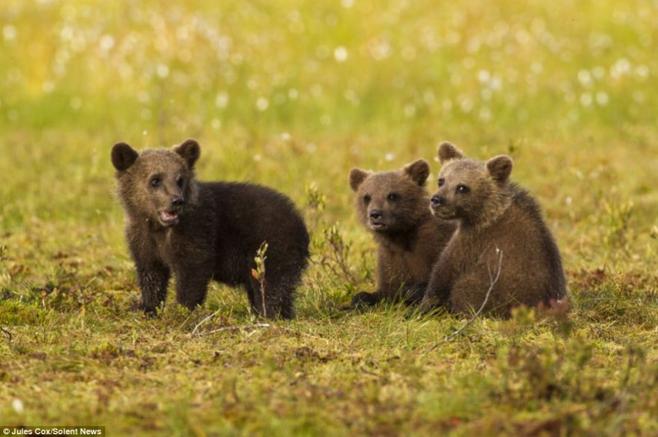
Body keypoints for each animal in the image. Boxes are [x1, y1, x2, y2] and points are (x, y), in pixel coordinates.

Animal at [111, 139, 309, 319]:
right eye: (155, 180)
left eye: (180, 179)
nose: (176, 201)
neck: (158, 227)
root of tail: (301, 222)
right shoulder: (142, 240)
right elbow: (151, 275)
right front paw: (146, 308)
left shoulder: (197, 232)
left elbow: (193, 273)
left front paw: (183, 310)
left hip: (271, 249)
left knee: (272, 287)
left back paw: (267, 315)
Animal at [349, 160, 456, 307]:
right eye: (367, 197)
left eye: (392, 195)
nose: (375, 214)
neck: (400, 236)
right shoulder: (390, 257)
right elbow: (386, 289)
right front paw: (361, 298)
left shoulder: (434, 245)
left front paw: (410, 292)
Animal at [419, 142, 567, 317]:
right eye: (441, 180)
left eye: (462, 187)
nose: (436, 200)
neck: (484, 213)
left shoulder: (472, 242)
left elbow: (443, 274)